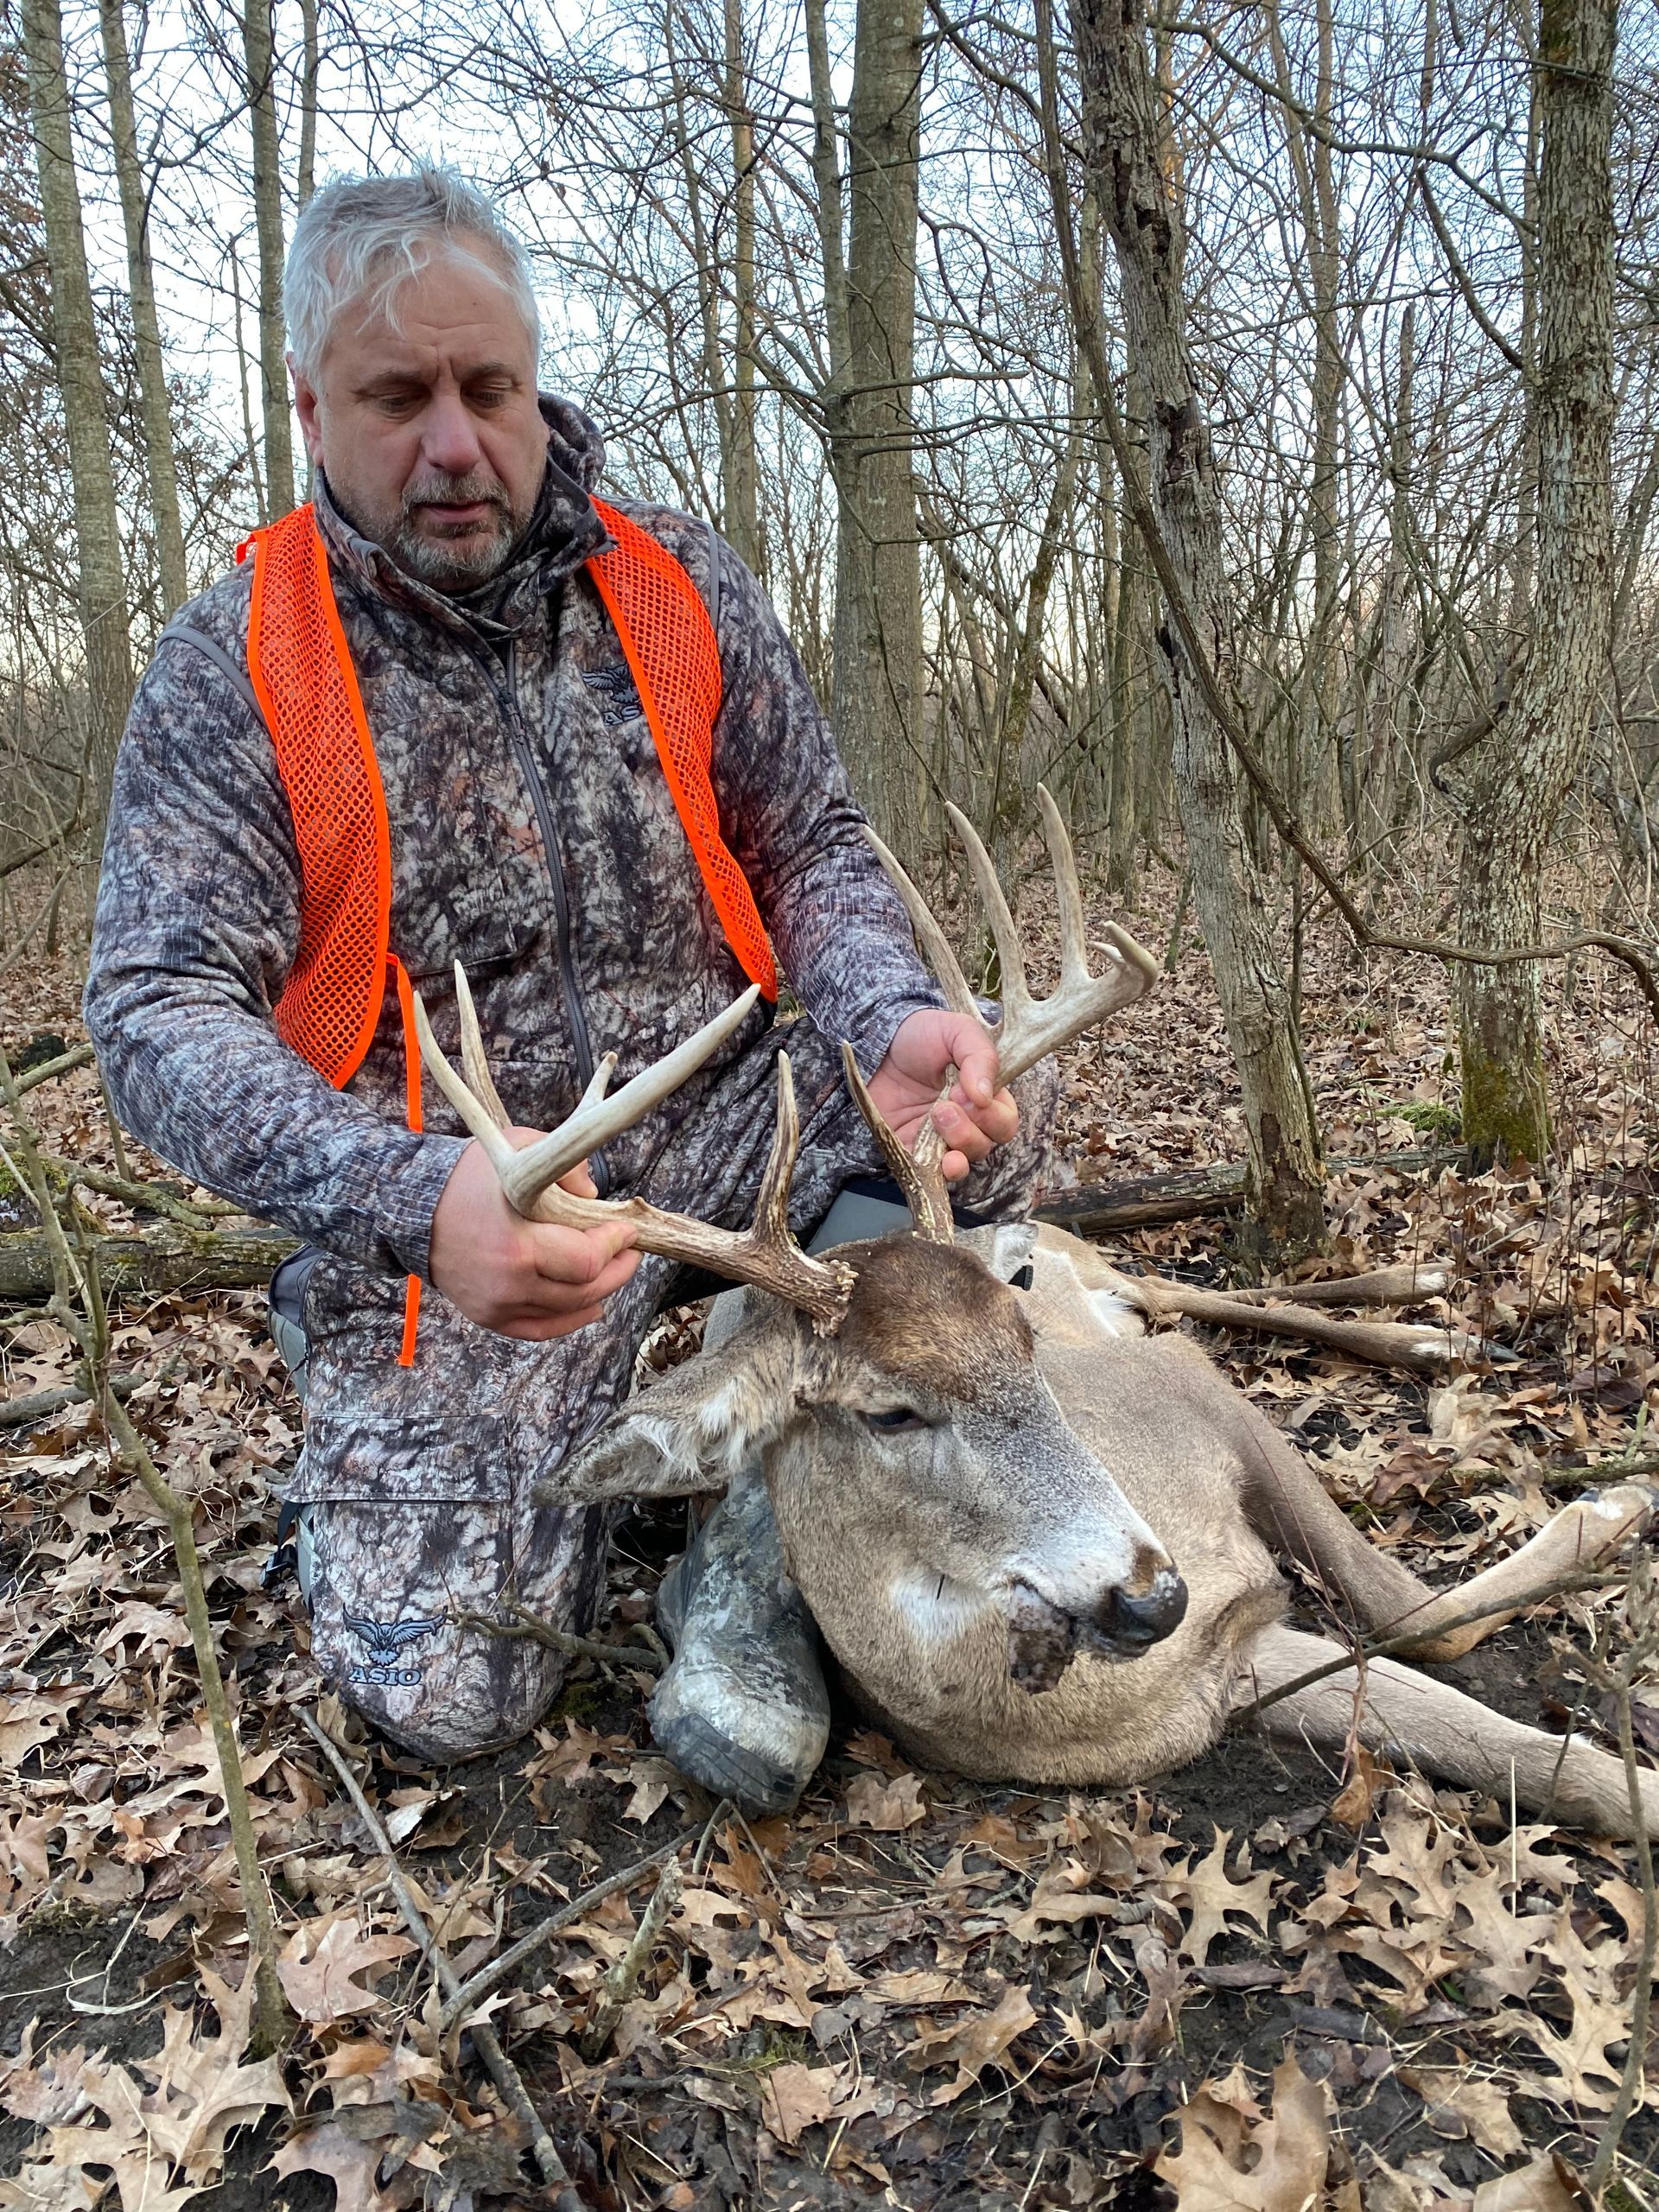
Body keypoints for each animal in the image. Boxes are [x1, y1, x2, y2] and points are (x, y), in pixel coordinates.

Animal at [411, 795, 1659, 1841]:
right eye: (890, 1412)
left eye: (1022, 1353)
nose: (1152, 1592)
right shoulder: (1241, 1661)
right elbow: (1492, 1711)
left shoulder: (1189, 1396)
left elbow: (1417, 1610)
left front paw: (1610, 1505)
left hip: (1117, 1293)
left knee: (1190, 1294)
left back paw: (1430, 1312)